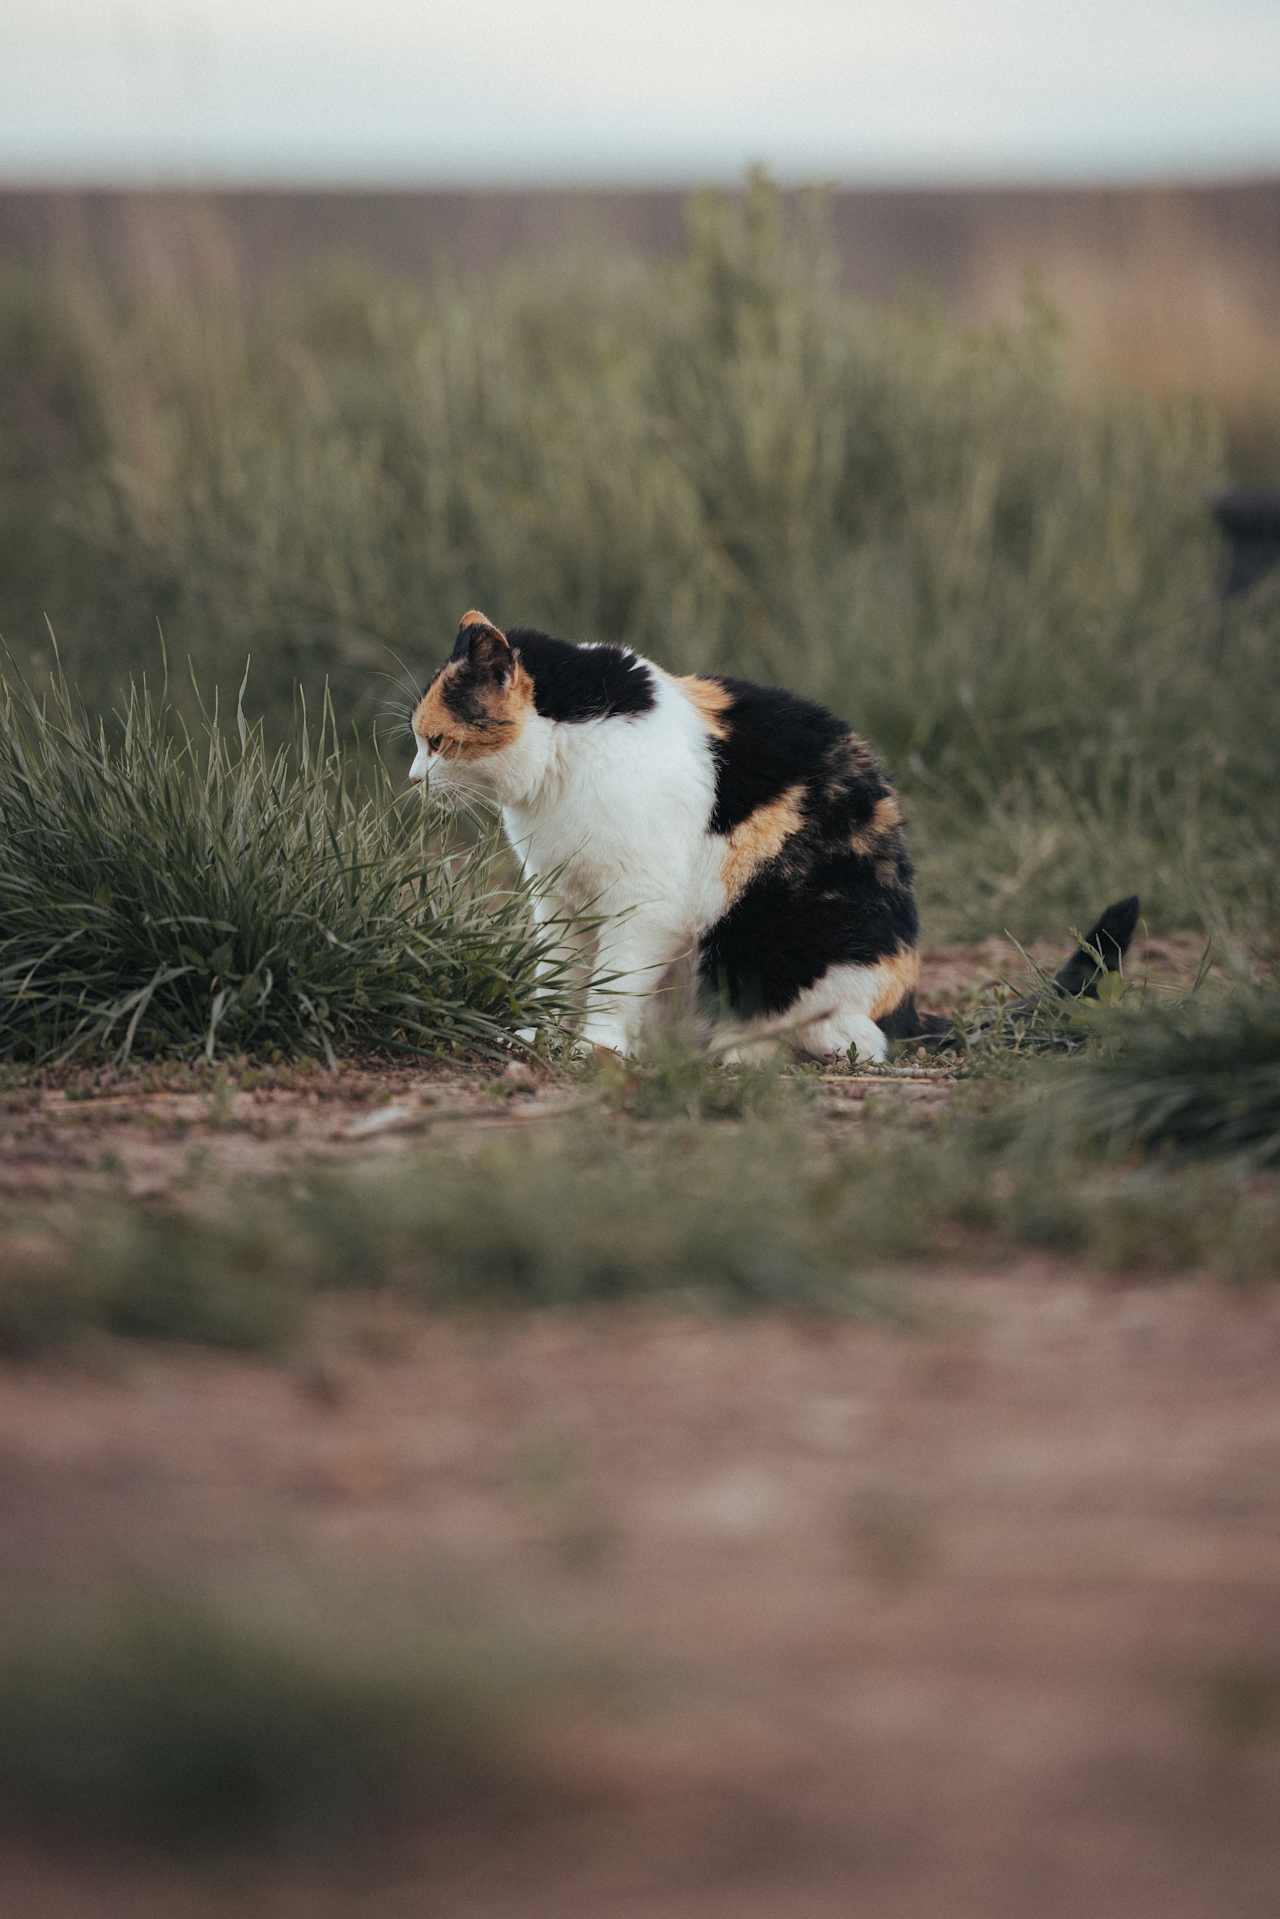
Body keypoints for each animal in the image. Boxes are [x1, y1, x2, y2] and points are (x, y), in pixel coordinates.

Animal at [408, 610, 1128, 1059]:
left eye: (436, 741)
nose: (414, 777)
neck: (560, 769)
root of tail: (909, 1005)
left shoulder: (643, 904)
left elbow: (614, 978)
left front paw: (597, 1044)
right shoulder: (556, 894)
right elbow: (557, 970)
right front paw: (547, 1034)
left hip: (776, 945)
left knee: (857, 1040)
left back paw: (740, 1051)